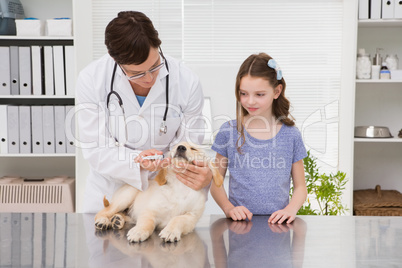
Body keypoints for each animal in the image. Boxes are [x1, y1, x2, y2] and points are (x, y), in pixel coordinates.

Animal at [94, 142, 223, 243]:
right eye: (175, 146)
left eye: (193, 148)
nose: (181, 147)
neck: (179, 187)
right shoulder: (149, 211)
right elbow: (146, 223)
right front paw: (139, 231)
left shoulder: (191, 217)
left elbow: (177, 219)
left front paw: (170, 231)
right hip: (126, 196)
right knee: (103, 211)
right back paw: (103, 221)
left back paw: (117, 220)